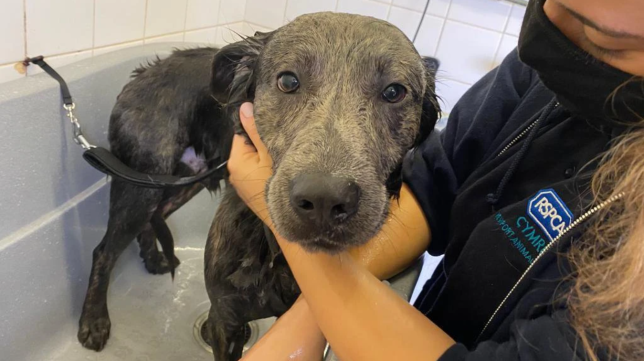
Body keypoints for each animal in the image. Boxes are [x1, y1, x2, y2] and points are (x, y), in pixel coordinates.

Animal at [76, 11, 438, 360]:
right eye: (288, 81)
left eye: (394, 92)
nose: (324, 200)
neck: (273, 249)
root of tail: (144, 71)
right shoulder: (224, 320)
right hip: (144, 181)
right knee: (104, 250)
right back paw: (94, 321)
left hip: (185, 179)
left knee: (152, 220)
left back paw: (153, 260)